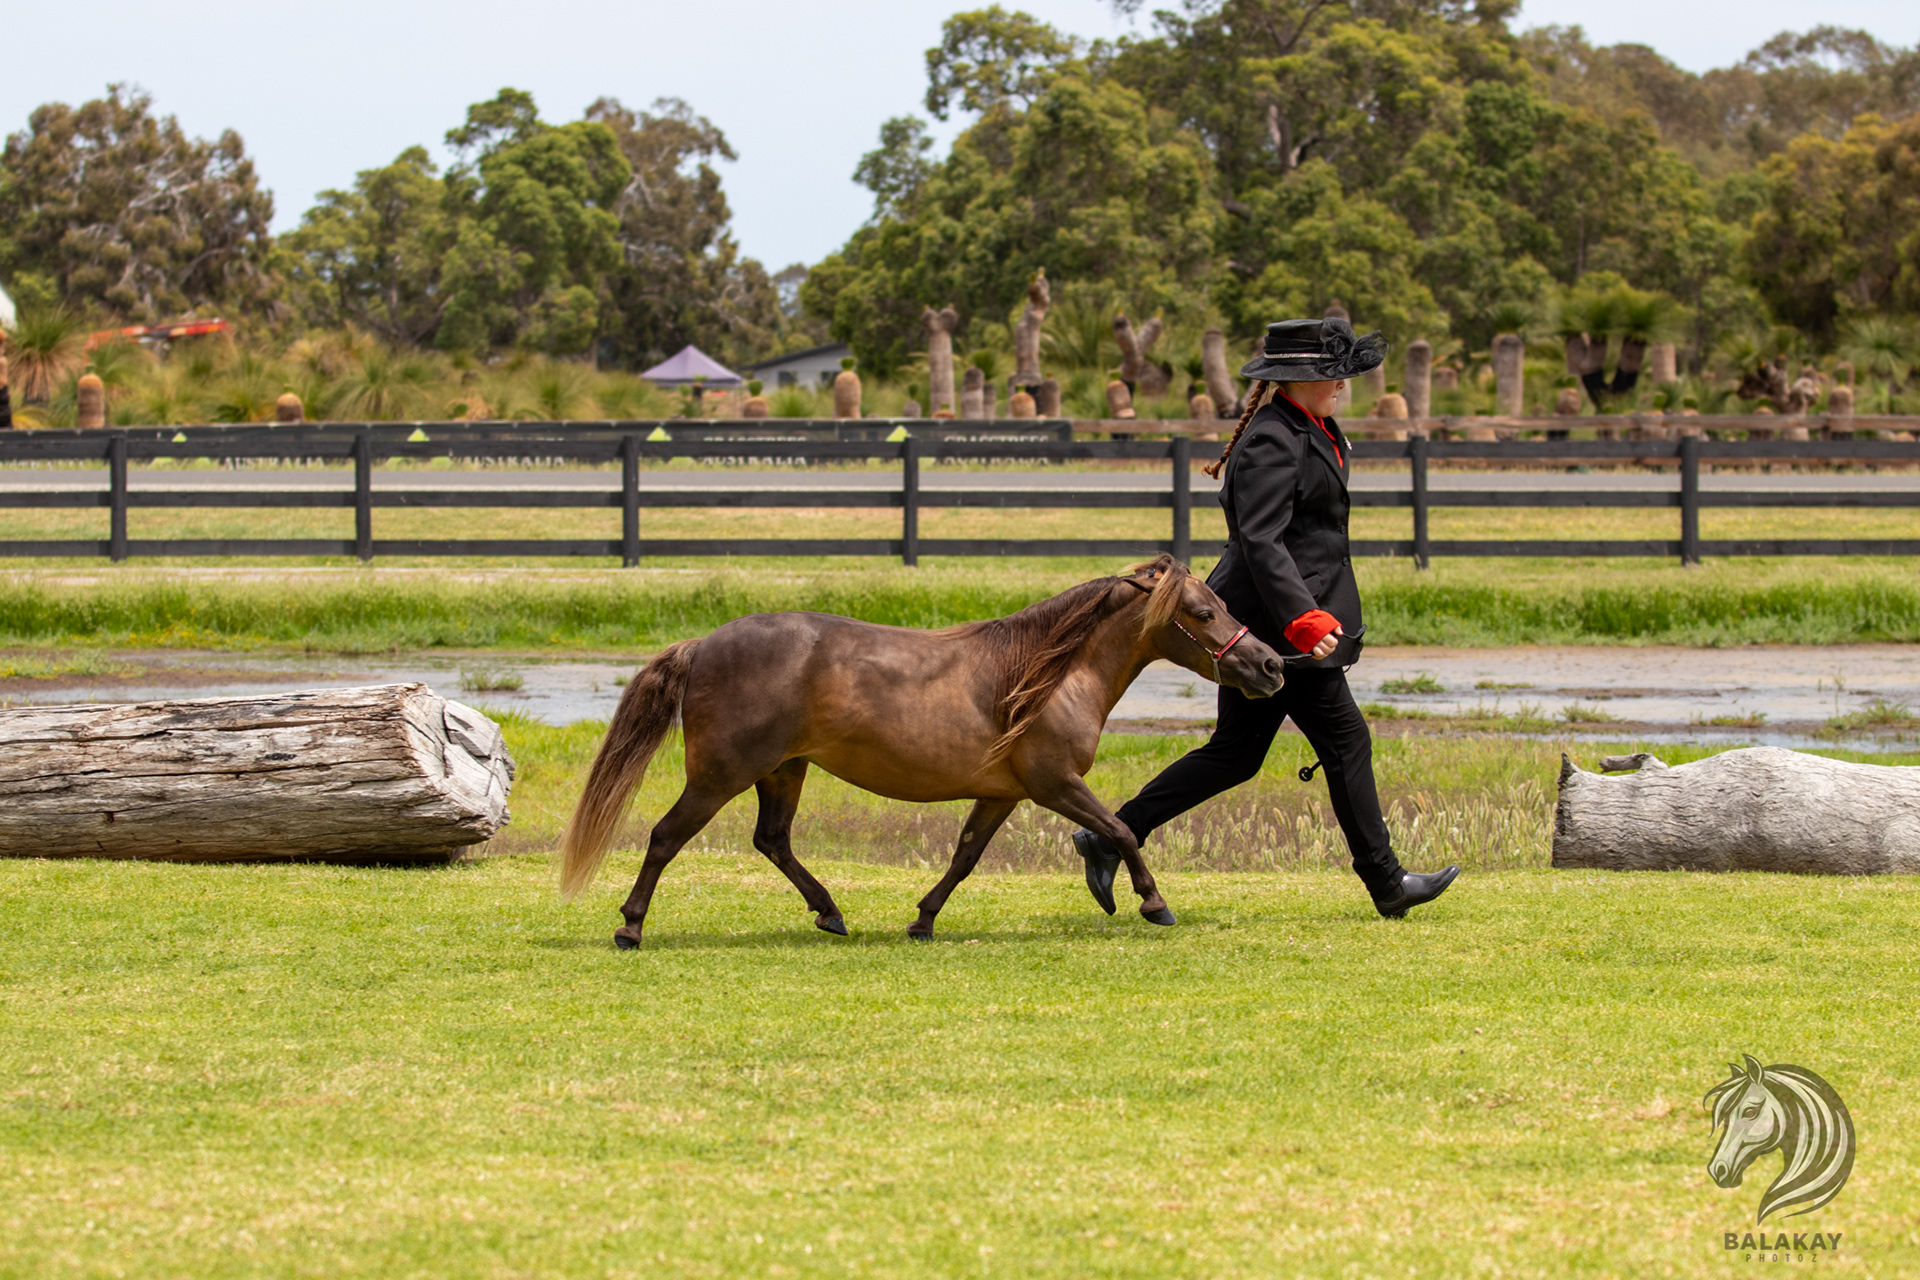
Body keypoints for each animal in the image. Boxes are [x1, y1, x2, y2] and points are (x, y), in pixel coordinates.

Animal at [559, 555, 1284, 947]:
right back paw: (630, 928)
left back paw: (830, 913)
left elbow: (964, 858)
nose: (1271, 665)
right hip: (721, 775)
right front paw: (1153, 904)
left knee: (772, 841)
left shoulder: (1001, 794)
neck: (1047, 676)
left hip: (783, 770)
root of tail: (703, 645)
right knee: (664, 837)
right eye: (1203, 612)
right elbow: (1123, 831)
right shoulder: (1055, 783)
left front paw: (923, 921)